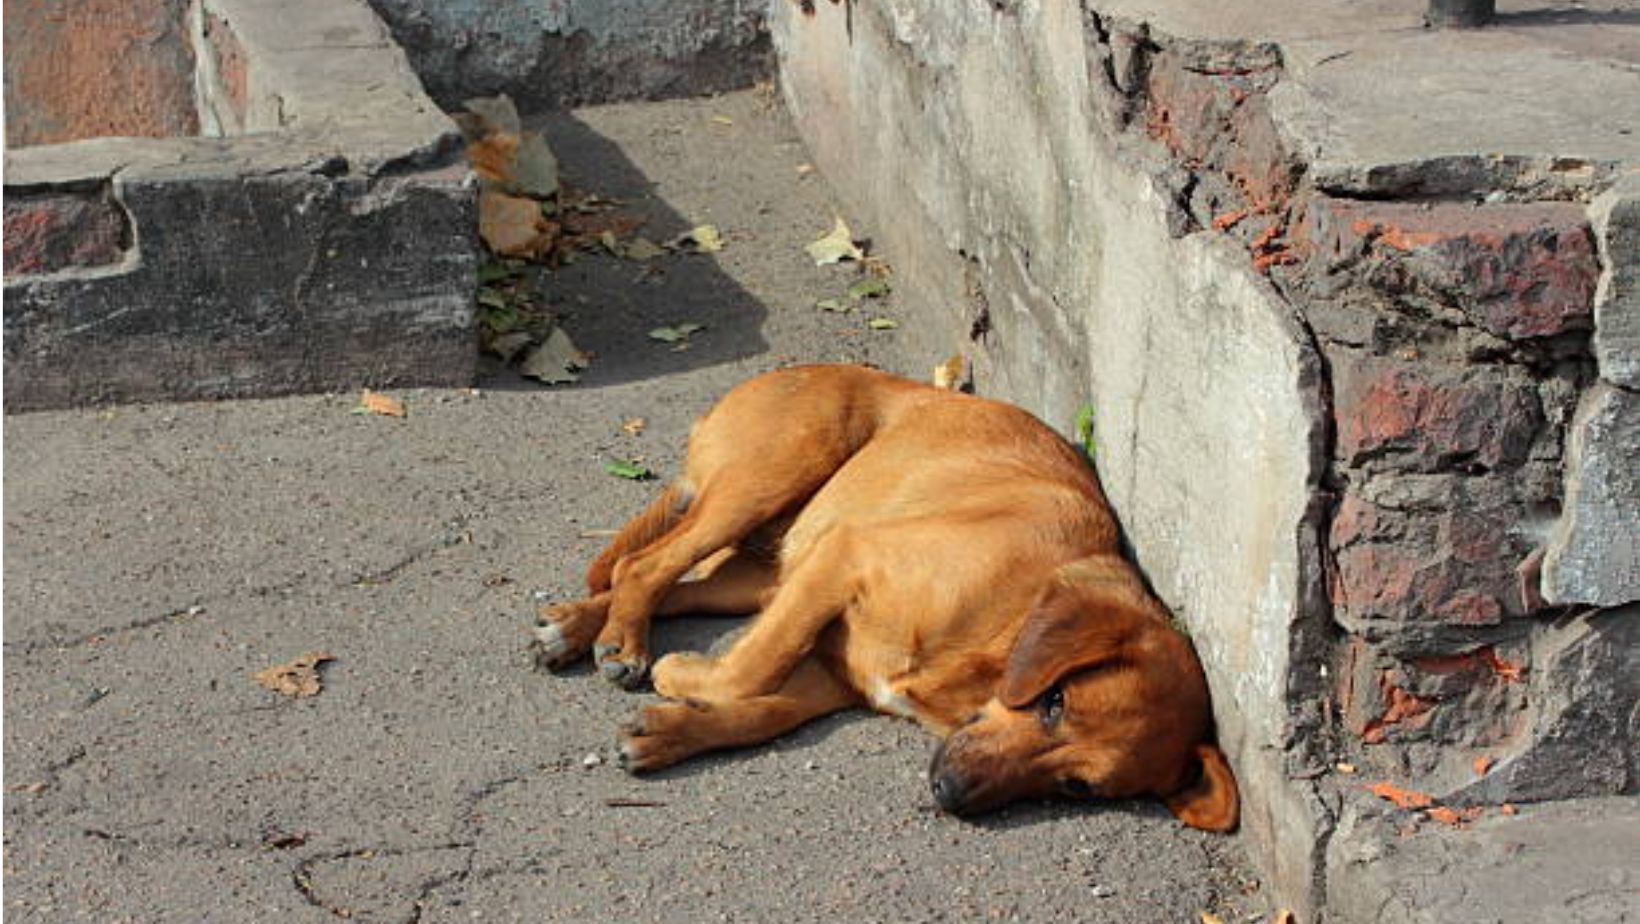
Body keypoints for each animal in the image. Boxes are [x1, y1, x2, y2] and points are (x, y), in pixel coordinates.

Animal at [532, 363, 1238, 831]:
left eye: (1077, 789)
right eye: (1055, 702)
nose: (949, 792)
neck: (1003, 632)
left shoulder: (834, 671)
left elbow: (764, 710)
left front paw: (668, 729)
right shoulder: (848, 558)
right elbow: (751, 671)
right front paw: (681, 676)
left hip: (764, 573)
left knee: (668, 584)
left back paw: (575, 627)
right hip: (780, 473)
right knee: (645, 563)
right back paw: (622, 644)